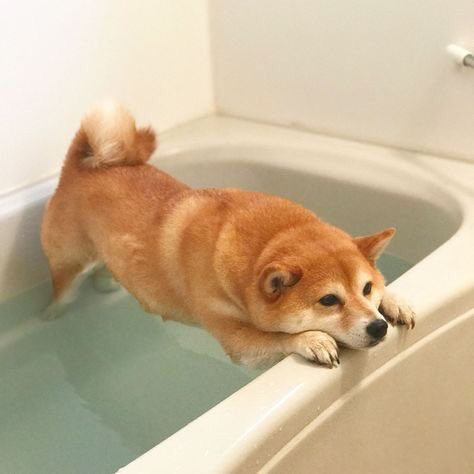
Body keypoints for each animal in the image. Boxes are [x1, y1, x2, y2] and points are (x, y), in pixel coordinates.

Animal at [42, 103, 416, 368]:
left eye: (366, 288)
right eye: (328, 300)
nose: (378, 327)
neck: (269, 238)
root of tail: (81, 167)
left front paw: (394, 301)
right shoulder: (236, 339)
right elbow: (277, 338)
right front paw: (312, 339)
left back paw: (106, 284)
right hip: (69, 262)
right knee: (62, 287)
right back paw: (51, 314)